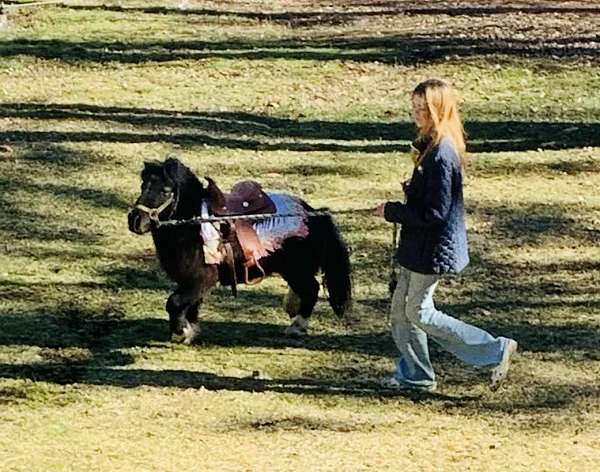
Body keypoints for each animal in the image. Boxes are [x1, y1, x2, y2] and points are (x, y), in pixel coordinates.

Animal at [127, 158, 352, 342]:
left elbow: (174, 302)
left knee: (311, 289)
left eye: (165, 190)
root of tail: (312, 213)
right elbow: (191, 304)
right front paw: (190, 330)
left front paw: (181, 332)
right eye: (143, 185)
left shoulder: (201, 278)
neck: (193, 224)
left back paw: (296, 327)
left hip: (297, 269)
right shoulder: (191, 281)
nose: (135, 220)